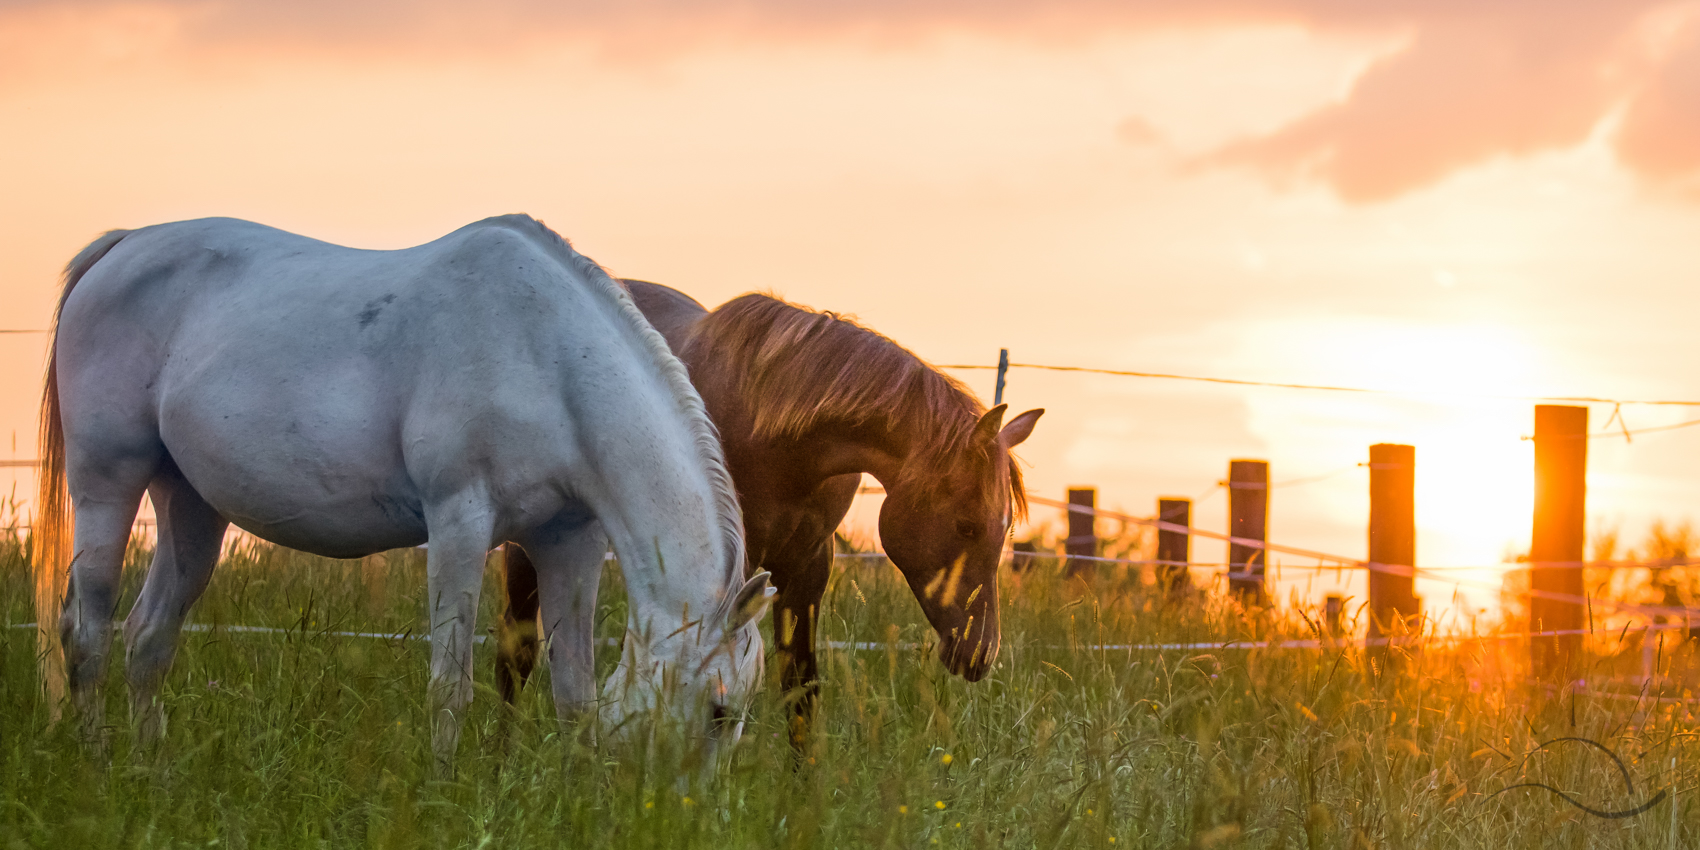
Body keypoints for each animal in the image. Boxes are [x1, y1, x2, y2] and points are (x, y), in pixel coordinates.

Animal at [34, 214, 778, 771]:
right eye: (720, 711)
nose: (682, 816)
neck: (548, 358)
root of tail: (121, 246)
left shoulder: (567, 540)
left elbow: (575, 691)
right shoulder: (459, 525)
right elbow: (451, 685)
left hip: (190, 507)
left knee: (148, 638)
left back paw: (150, 772)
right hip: (107, 483)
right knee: (88, 631)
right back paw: (99, 765)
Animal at [496, 282, 1040, 741]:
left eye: (1005, 531)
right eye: (966, 526)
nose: (980, 655)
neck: (775, 433)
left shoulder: (806, 569)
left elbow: (800, 688)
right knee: (516, 651)